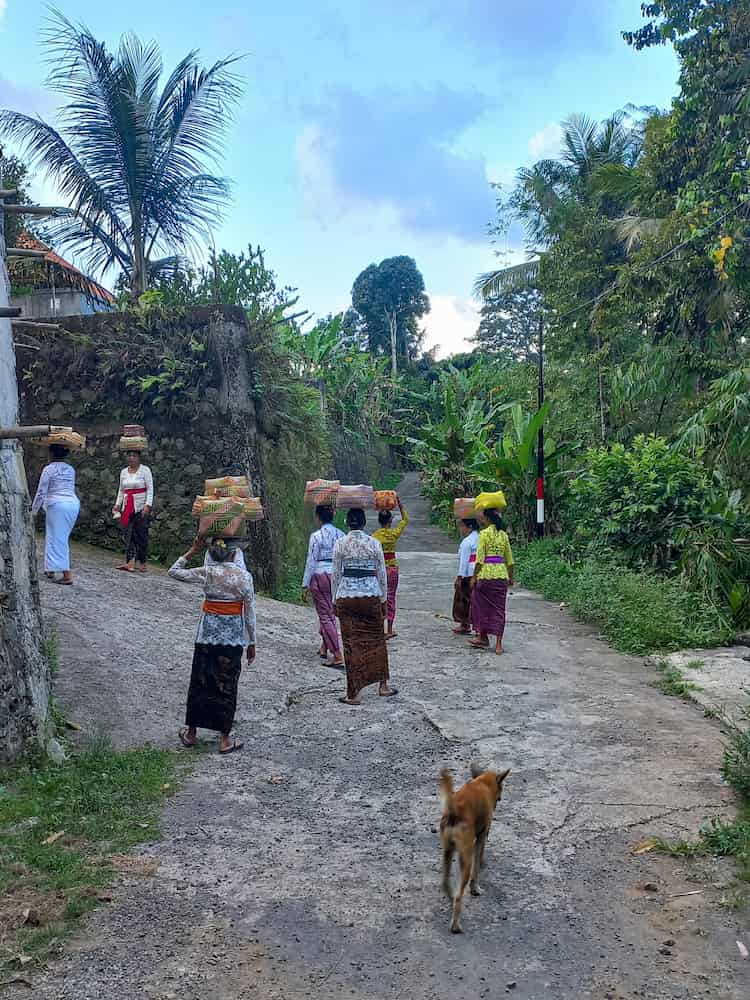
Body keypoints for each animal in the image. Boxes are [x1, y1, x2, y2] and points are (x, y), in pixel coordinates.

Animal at [440, 760, 512, 932]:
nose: (499, 799)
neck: (482, 782)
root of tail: (454, 812)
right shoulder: (482, 836)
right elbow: (478, 865)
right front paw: (475, 888)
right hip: (465, 859)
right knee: (459, 895)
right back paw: (455, 925)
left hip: (447, 851)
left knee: (445, 883)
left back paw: (450, 898)